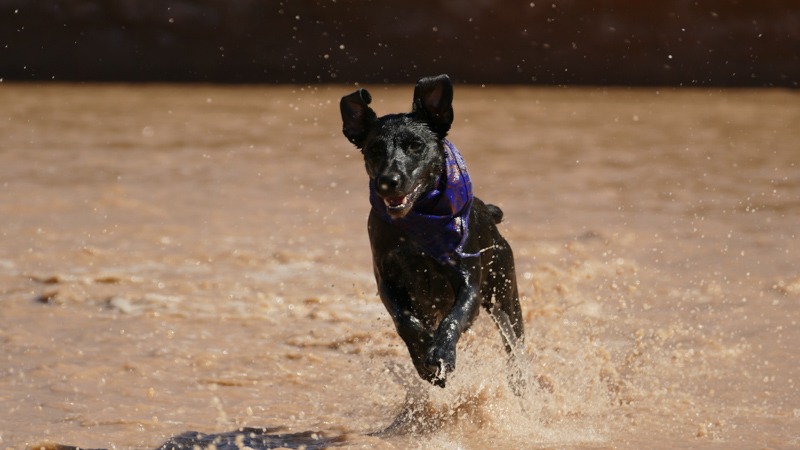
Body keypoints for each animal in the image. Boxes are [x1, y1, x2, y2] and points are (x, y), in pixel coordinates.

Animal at [340, 75, 520, 388]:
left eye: (415, 145)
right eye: (374, 149)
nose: (388, 181)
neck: (417, 228)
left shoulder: (469, 282)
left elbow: (454, 318)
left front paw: (441, 354)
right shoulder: (387, 280)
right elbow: (405, 321)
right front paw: (424, 357)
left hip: (505, 296)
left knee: (516, 347)